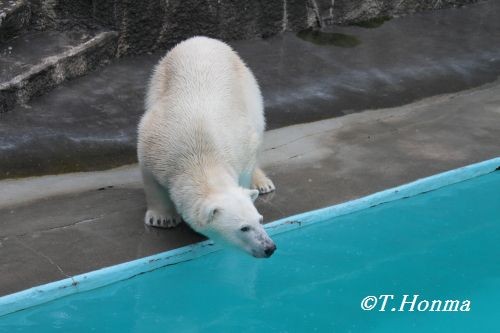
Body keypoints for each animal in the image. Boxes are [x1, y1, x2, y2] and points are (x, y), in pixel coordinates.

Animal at [137, 37, 278, 258]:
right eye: (244, 228)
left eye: (260, 220)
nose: (269, 247)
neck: (201, 156)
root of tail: (202, 39)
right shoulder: (153, 144)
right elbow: (152, 182)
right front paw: (162, 219)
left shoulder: (240, 145)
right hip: (158, 78)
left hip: (246, 84)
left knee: (258, 123)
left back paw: (262, 184)